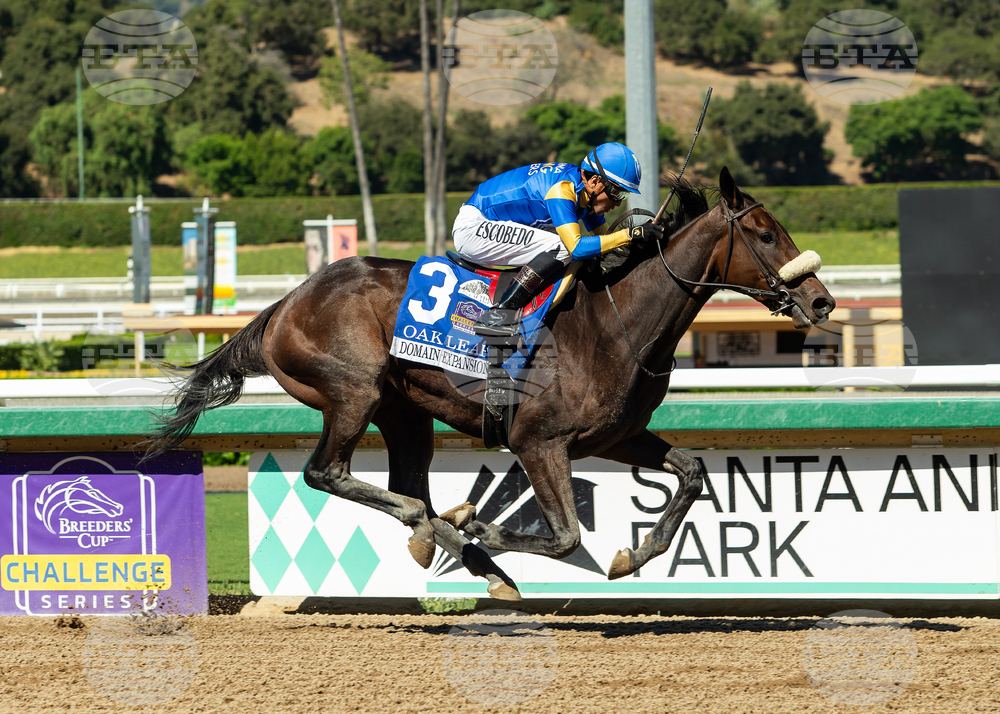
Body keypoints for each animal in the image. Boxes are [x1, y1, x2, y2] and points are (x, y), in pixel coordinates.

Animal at [146, 167, 835, 600]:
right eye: (766, 234)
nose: (822, 301)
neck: (615, 323)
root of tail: (286, 302)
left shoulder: (615, 437)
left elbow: (691, 474)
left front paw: (632, 555)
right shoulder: (538, 441)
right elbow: (565, 535)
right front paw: (482, 525)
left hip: (405, 413)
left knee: (407, 485)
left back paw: (458, 546)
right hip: (353, 393)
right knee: (329, 473)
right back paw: (445, 530)